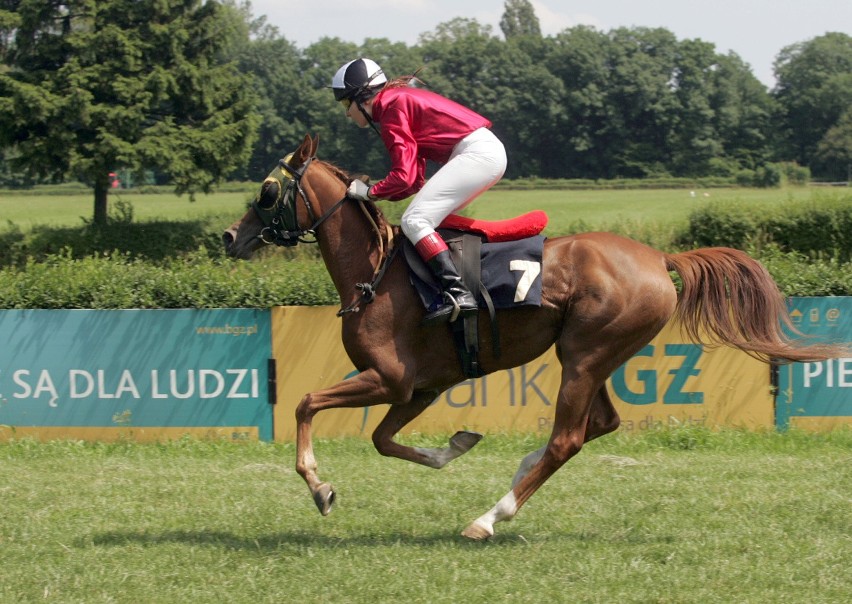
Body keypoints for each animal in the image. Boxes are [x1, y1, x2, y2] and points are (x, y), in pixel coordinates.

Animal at [223, 134, 844, 540]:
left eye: (267, 190)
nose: (230, 235)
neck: (375, 271)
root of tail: (658, 257)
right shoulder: (418, 386)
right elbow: (383, 439)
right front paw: (454, 446)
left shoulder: (388, 377)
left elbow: (305, 403)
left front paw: (319, 488)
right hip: (594, 355)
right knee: (598, 424)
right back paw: (518, 471)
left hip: (585, 354)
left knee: (569, 438)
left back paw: (488, 518)